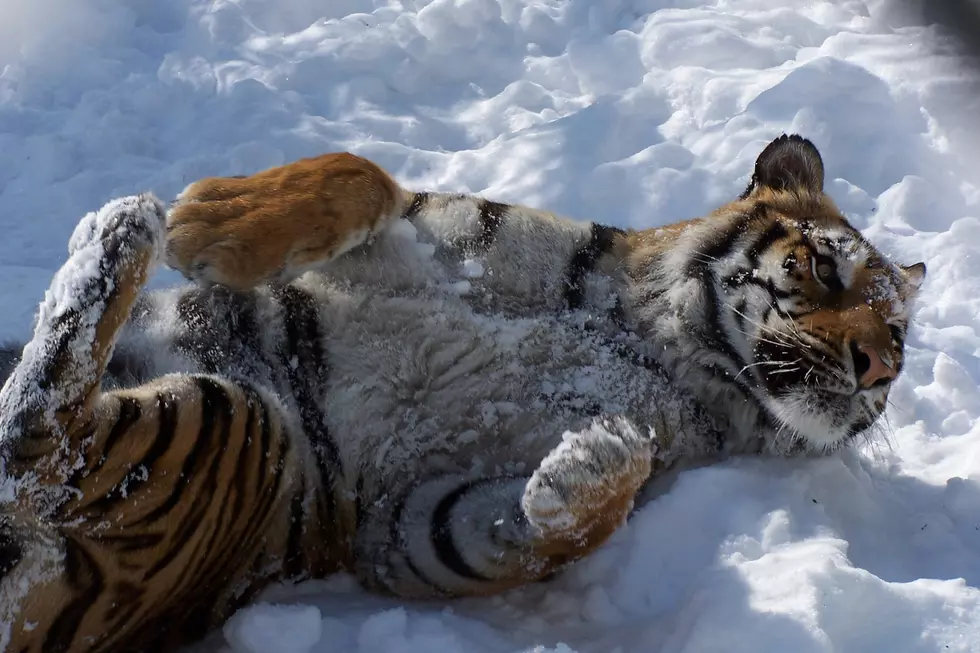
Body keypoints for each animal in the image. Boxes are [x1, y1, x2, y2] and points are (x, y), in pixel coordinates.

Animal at [0, 135, 924, 648]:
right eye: (824, 264)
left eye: (899, 335)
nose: (877, 370)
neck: (668, 350)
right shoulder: (435, 231)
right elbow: (360, 175)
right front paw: (210, 220)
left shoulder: (398, 520)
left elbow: (516, 532)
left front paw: (594, 464)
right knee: (34, 433)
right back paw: (127, 227)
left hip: (228, 433)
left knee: (39, 444)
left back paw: (113, 237)